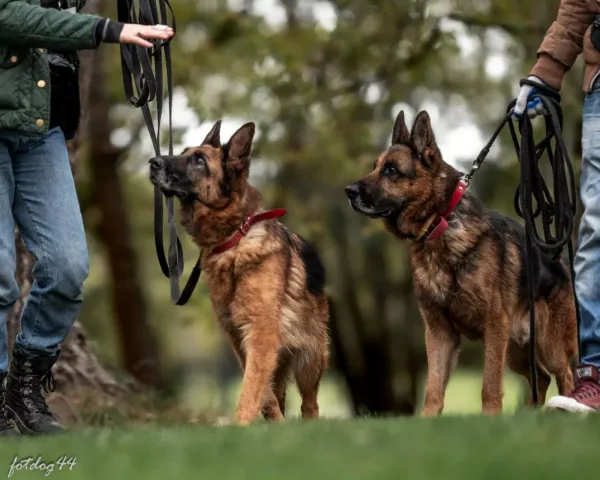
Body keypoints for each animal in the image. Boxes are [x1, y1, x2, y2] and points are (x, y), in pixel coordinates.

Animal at [149, 121, 328, 424]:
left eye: (199, 160)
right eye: (183, 152)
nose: (153, 162)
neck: (235, 238)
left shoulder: (260, 334)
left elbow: (250, 390)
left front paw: (241, 426)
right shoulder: (240, 337)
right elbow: (261, 391)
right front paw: (271, 424)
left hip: (310, 358)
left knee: (310, 404)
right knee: (279, 391)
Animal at [346, 110, 576, 414]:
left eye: (391, 170)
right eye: (375, 167)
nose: (348, 190)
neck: (439, 224)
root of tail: (560, 262)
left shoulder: (493, 328)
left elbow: (489, 386)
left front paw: (491, 418)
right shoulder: (439, 333)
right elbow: (433, 389)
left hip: (547, 344)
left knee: (565, 374)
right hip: (516, 350)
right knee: (542, 377)